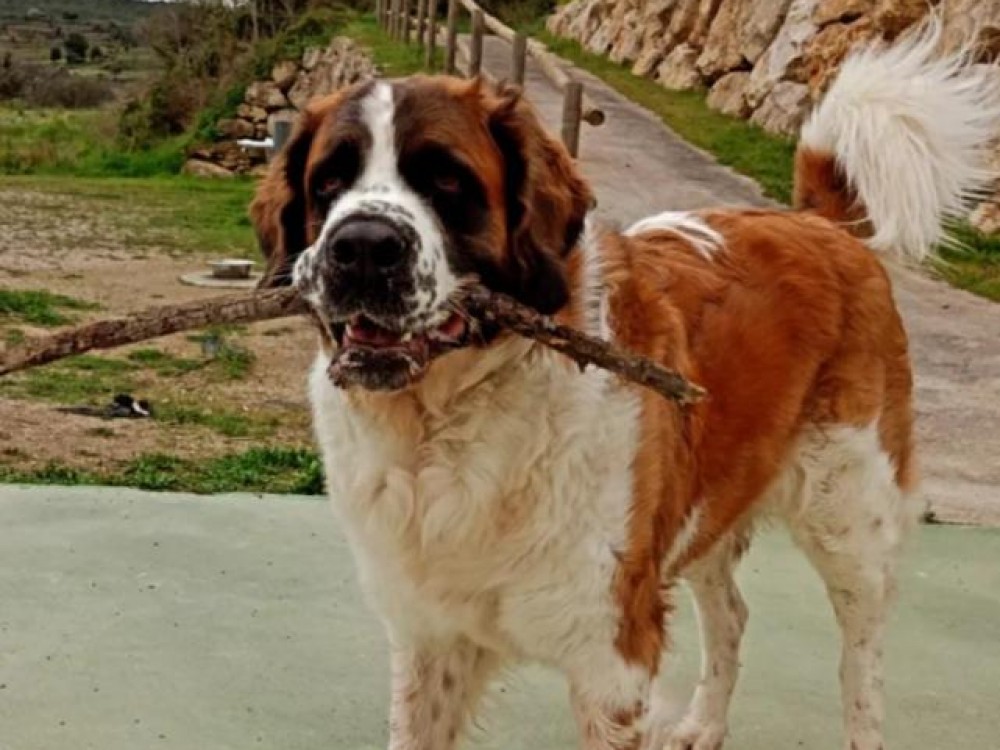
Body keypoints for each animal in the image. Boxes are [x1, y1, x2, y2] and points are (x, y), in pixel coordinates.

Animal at [249, 20, 1000, 750]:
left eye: (447, 183)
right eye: (329, 184)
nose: (362, 247)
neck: (448, 420)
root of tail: (819, 222)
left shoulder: (612, 657)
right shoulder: (432, 637)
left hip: (851, 519)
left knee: (862, 662)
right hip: (710, 500)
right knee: (732, 613)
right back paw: (702, 727)